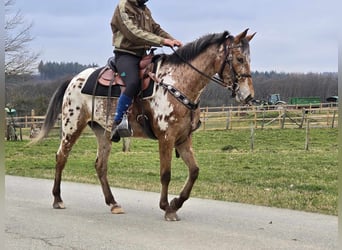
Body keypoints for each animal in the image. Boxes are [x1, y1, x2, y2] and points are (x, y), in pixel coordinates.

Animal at [35, 28, 254, 221]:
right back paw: (57, 199)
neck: (177, 83)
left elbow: (194, 171)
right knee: (61, 157)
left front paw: (176, 203)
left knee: (100, 166)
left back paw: (113, 203)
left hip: (103, 132)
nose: (248, 95)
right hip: (72, 125)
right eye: (240, 59)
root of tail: (73, 79)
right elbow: (165, 174)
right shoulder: (166, 138)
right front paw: (167, 208)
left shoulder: (183, 139)